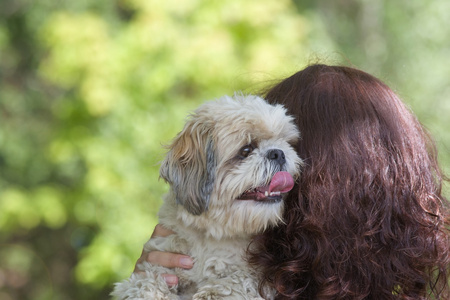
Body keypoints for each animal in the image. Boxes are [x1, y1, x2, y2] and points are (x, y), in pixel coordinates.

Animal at [112, 94, 302, 300]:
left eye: (287, 143)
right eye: (246, 150)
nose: (278, 153)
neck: (212, 235)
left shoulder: (256, 277)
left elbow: (236, 282)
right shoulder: (160, 259)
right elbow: (145, 283)